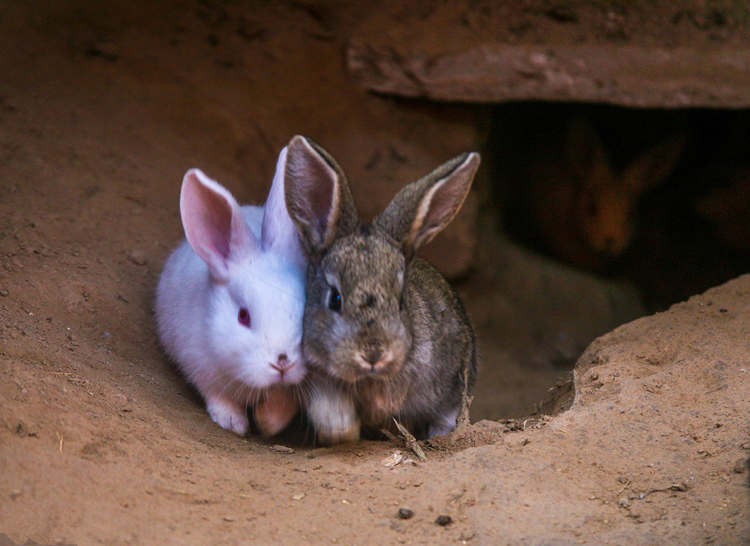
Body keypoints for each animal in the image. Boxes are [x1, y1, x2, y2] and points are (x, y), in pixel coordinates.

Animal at [156, 147, 308, 436]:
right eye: (243, 316)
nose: (283, 361)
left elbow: (287, 400)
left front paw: (269, 421)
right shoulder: (200, 364)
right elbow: (217, 396)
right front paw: (233, 422)